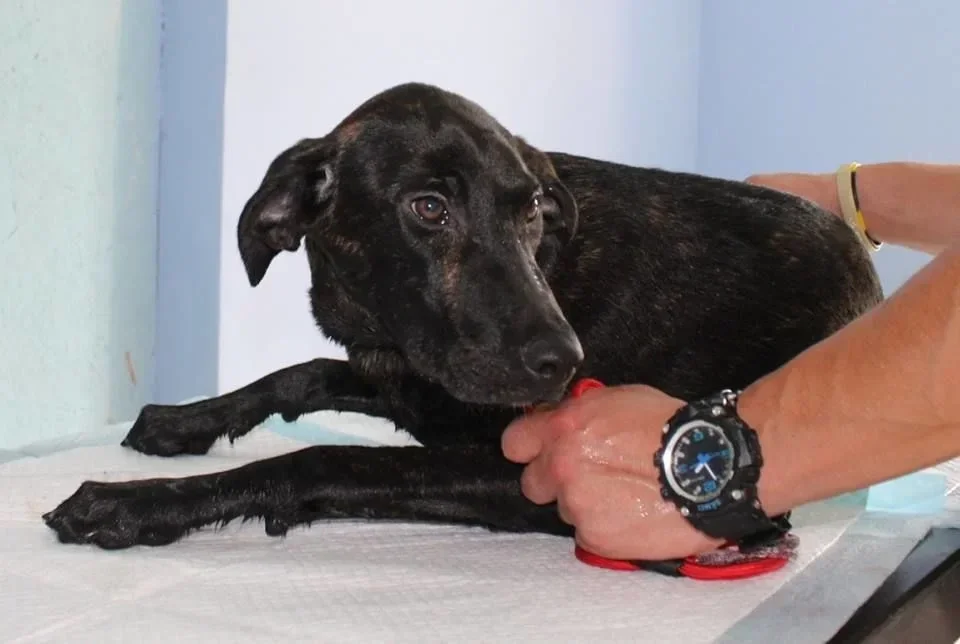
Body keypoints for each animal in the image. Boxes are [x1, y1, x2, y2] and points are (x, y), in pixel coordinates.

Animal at [43, 82, 883, 550]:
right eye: (428, 207)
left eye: (533, 211)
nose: (564, 363)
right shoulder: (418, 385)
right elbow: (301, 373)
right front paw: (187, 420)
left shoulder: (533, 472)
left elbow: (320, 460)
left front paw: (136, 504)